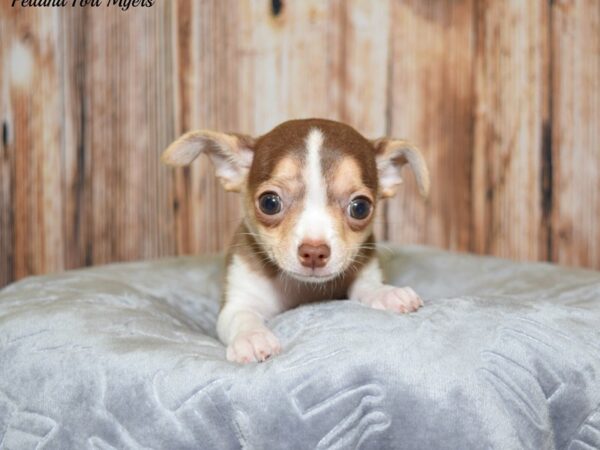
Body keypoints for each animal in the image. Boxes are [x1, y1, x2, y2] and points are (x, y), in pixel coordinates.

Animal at [162, 118, 428, 362]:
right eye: (269, 203)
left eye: (360, 208)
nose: (314, 251)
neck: (303, 289)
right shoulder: (237, 301)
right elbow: (241, 316)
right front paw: (252, 337)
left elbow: (365, 285)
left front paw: (386, 293)